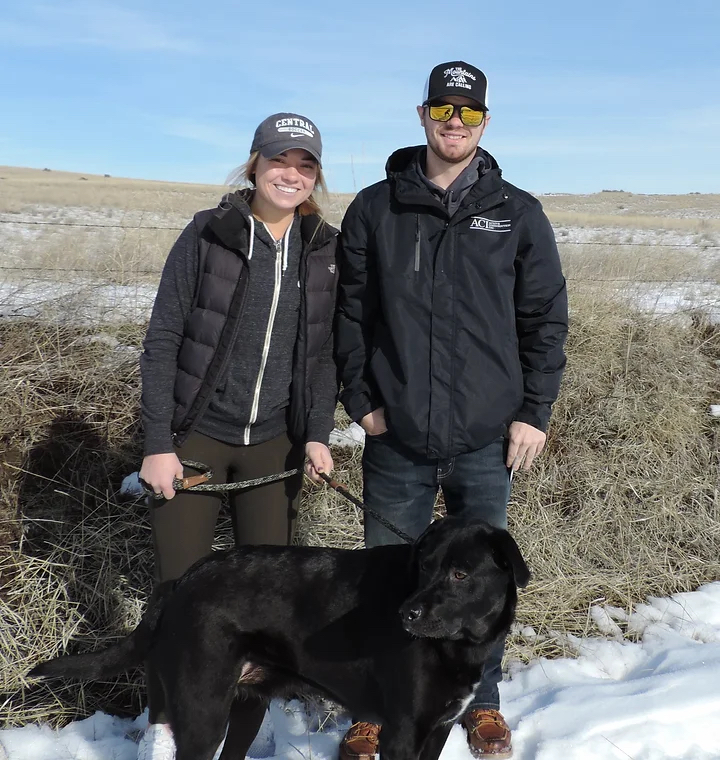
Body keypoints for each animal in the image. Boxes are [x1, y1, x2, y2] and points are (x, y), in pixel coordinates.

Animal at [29, 516, 528, 760]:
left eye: (460, 573)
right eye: (424, 566)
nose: (408, 613)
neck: (459, 646)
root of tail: (179, 583)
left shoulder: (439, 729)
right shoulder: (402, 734)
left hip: (243, 705)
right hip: (203, 714)